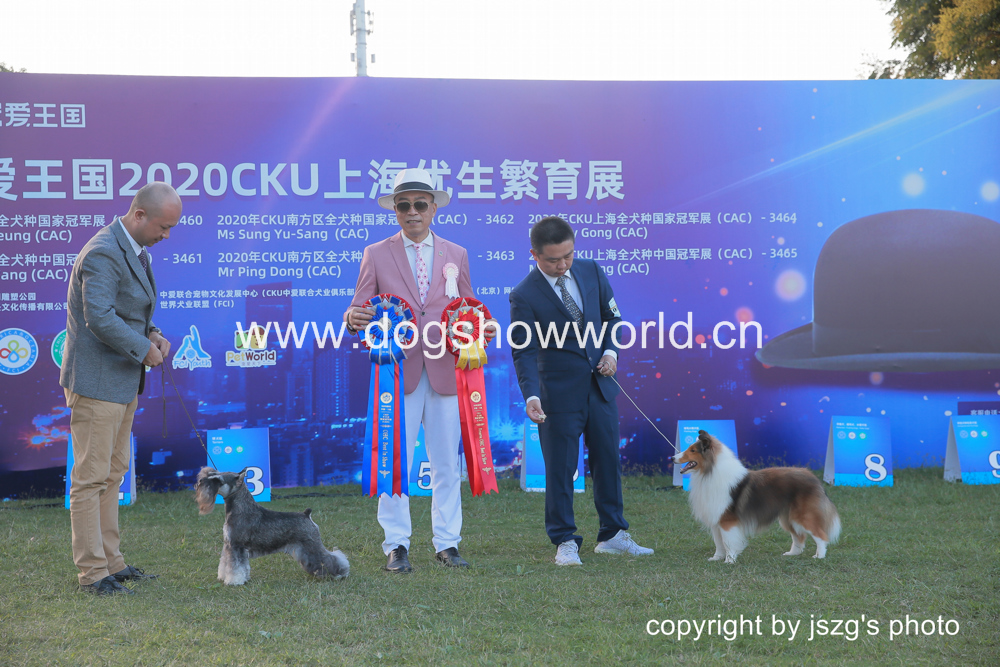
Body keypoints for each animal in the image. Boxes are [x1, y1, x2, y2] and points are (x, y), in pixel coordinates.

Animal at [194, 467, 350, 585]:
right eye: (211, 475)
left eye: (217, 480)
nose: (199, 482)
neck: (241, 508)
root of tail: (307, 514)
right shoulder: (229, 545)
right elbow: (228, 563)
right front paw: (227, 577)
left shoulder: (236, 546)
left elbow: (235, 566)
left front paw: (234, 581)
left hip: (311, 546)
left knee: (330, 558)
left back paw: (340, 573)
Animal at [674, 430, 841, 564]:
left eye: (692, 450)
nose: (672, 458)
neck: (709, 472)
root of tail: (814, 479)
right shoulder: (716, 519)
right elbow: (719, 543)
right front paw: (716, 558)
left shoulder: (727, 521)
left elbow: (728, 542)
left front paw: (729, 561)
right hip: (788, 517)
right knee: (799, 536)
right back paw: (792, 554)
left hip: (803, 515)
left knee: (820, 535)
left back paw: (819, 556)